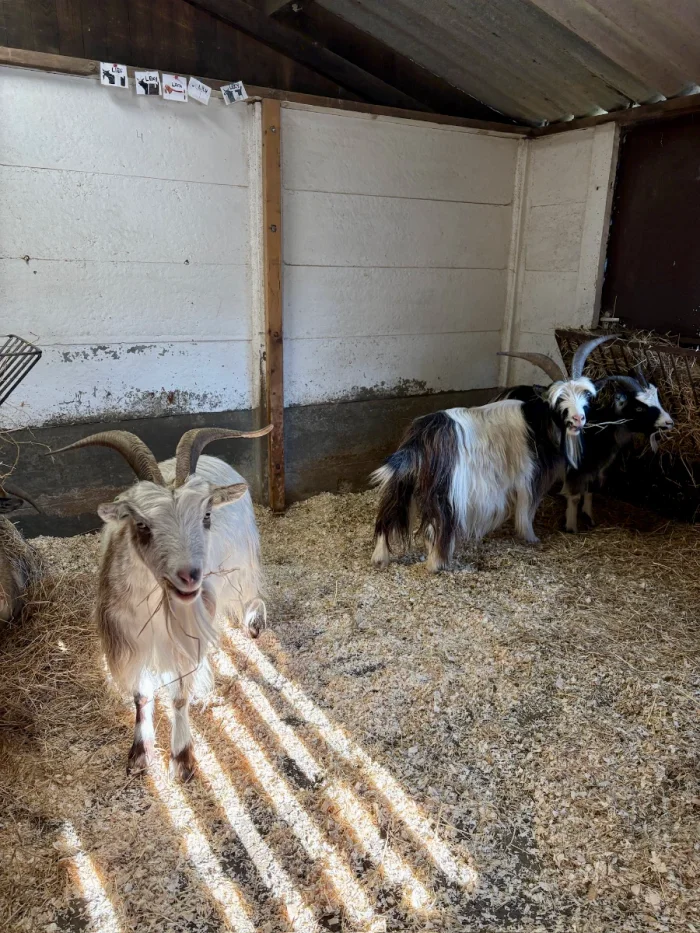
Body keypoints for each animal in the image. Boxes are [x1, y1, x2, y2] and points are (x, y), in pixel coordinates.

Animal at [51, 425, 272, 781]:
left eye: (206, 516)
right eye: (142, 525)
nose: (189, 577)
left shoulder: (184, 639)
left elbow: (179, 696)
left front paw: (182, 758)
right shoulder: (130, 640)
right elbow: (141, 696)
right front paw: (140, 753)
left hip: (241, 561)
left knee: (250, 593)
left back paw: (254, 623)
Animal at [371, 337, 612, 572]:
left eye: (586, 396)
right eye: (558, 400)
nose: (578, 419)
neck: (537, 422)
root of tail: (419, 441)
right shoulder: (529, 478)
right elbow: (527, 510)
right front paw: (531, 538)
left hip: (402, 484)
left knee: (387, 517)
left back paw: (380, 558)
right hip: (447, 492)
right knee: (438, 527)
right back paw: (437, 563)